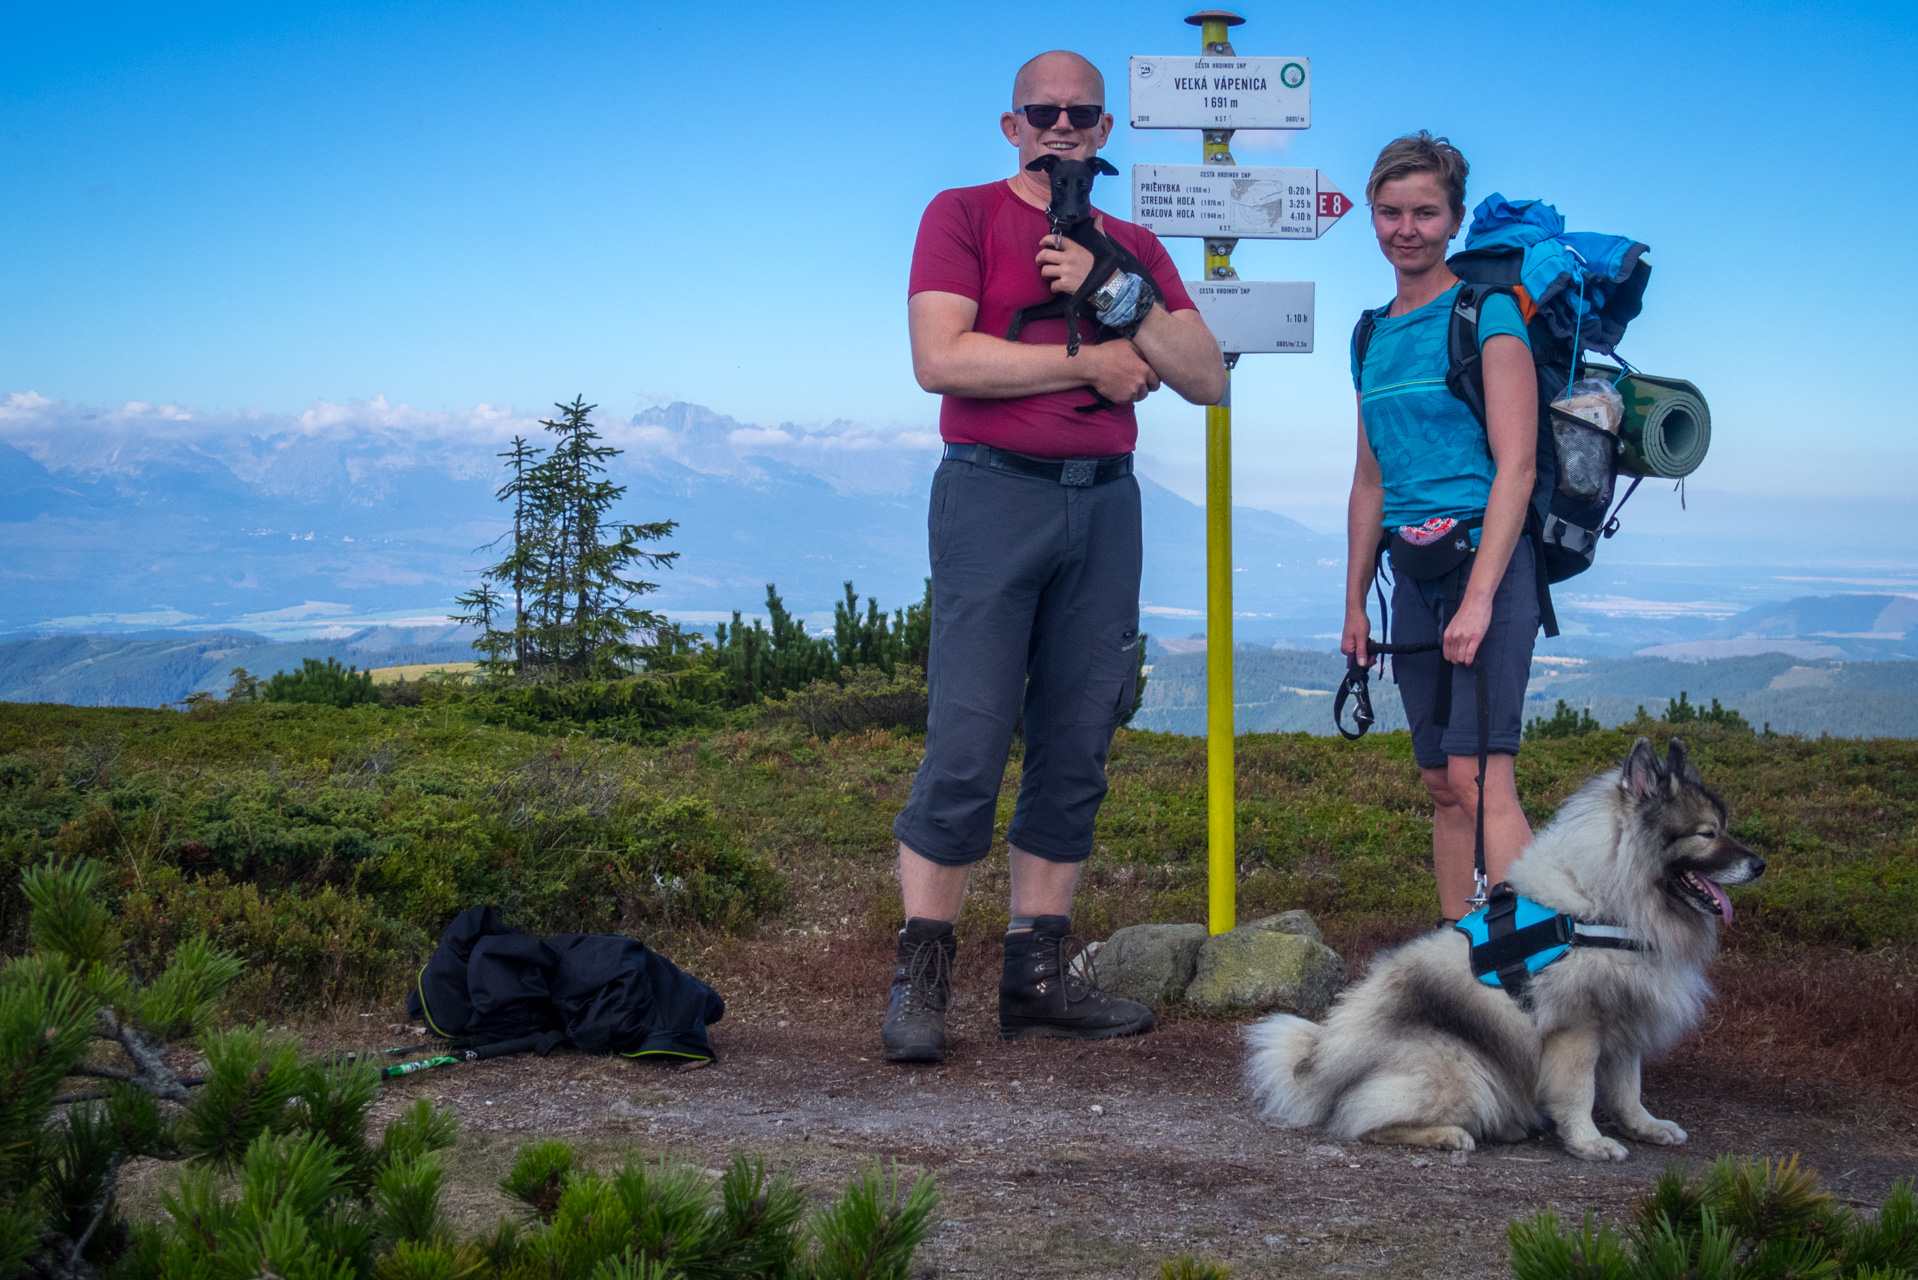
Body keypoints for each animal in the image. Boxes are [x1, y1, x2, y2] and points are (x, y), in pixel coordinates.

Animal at [1012, 153, 1158, 416]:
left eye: (1085, 184)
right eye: (1059, 183)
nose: (1070, 214)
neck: (1069, 232)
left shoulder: (1109, 258)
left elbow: (1072, 306)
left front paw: (1073, 338)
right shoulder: (1061, 299)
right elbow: (1022, 311)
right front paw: (1009, 337)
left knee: (1108, 398)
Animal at [1242, 729, 1764, 1159]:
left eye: (1724, 826)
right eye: (1707, 834)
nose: (1759, 864)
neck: (1604, 900)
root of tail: (1320, 1069)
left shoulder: (1624, 1014)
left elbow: (1628, 1089)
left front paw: (1645, 1127)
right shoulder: (1578, 1026)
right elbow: (1580, 1092)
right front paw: (1589, 1142)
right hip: (1460, 1067)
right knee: (1361, 1120)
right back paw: (1449, 1134)